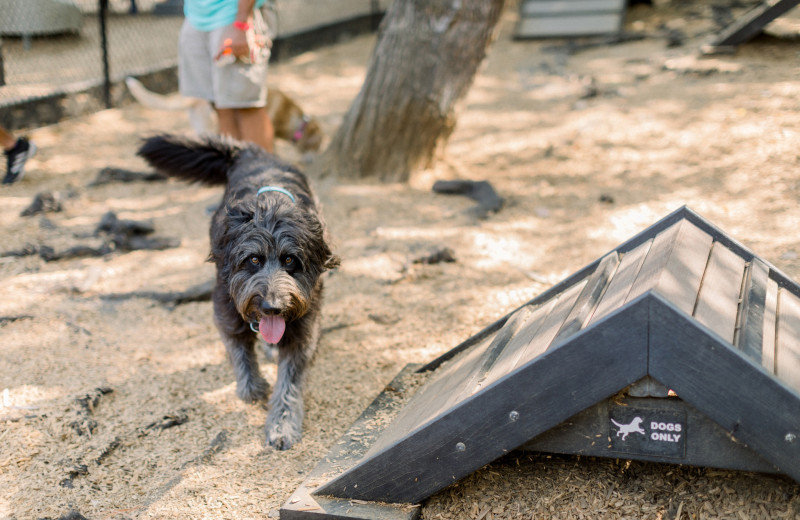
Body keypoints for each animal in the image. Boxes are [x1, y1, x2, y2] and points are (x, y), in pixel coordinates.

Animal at [138, 133, 338, 446]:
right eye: (253, 260)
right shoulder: (226, 308)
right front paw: (253, 388)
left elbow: (290, 382)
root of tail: (251, 152)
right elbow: (239, 352)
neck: (272, 208)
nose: (272, 308)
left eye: (290, 260)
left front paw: (282, 424)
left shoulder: (305, 327)